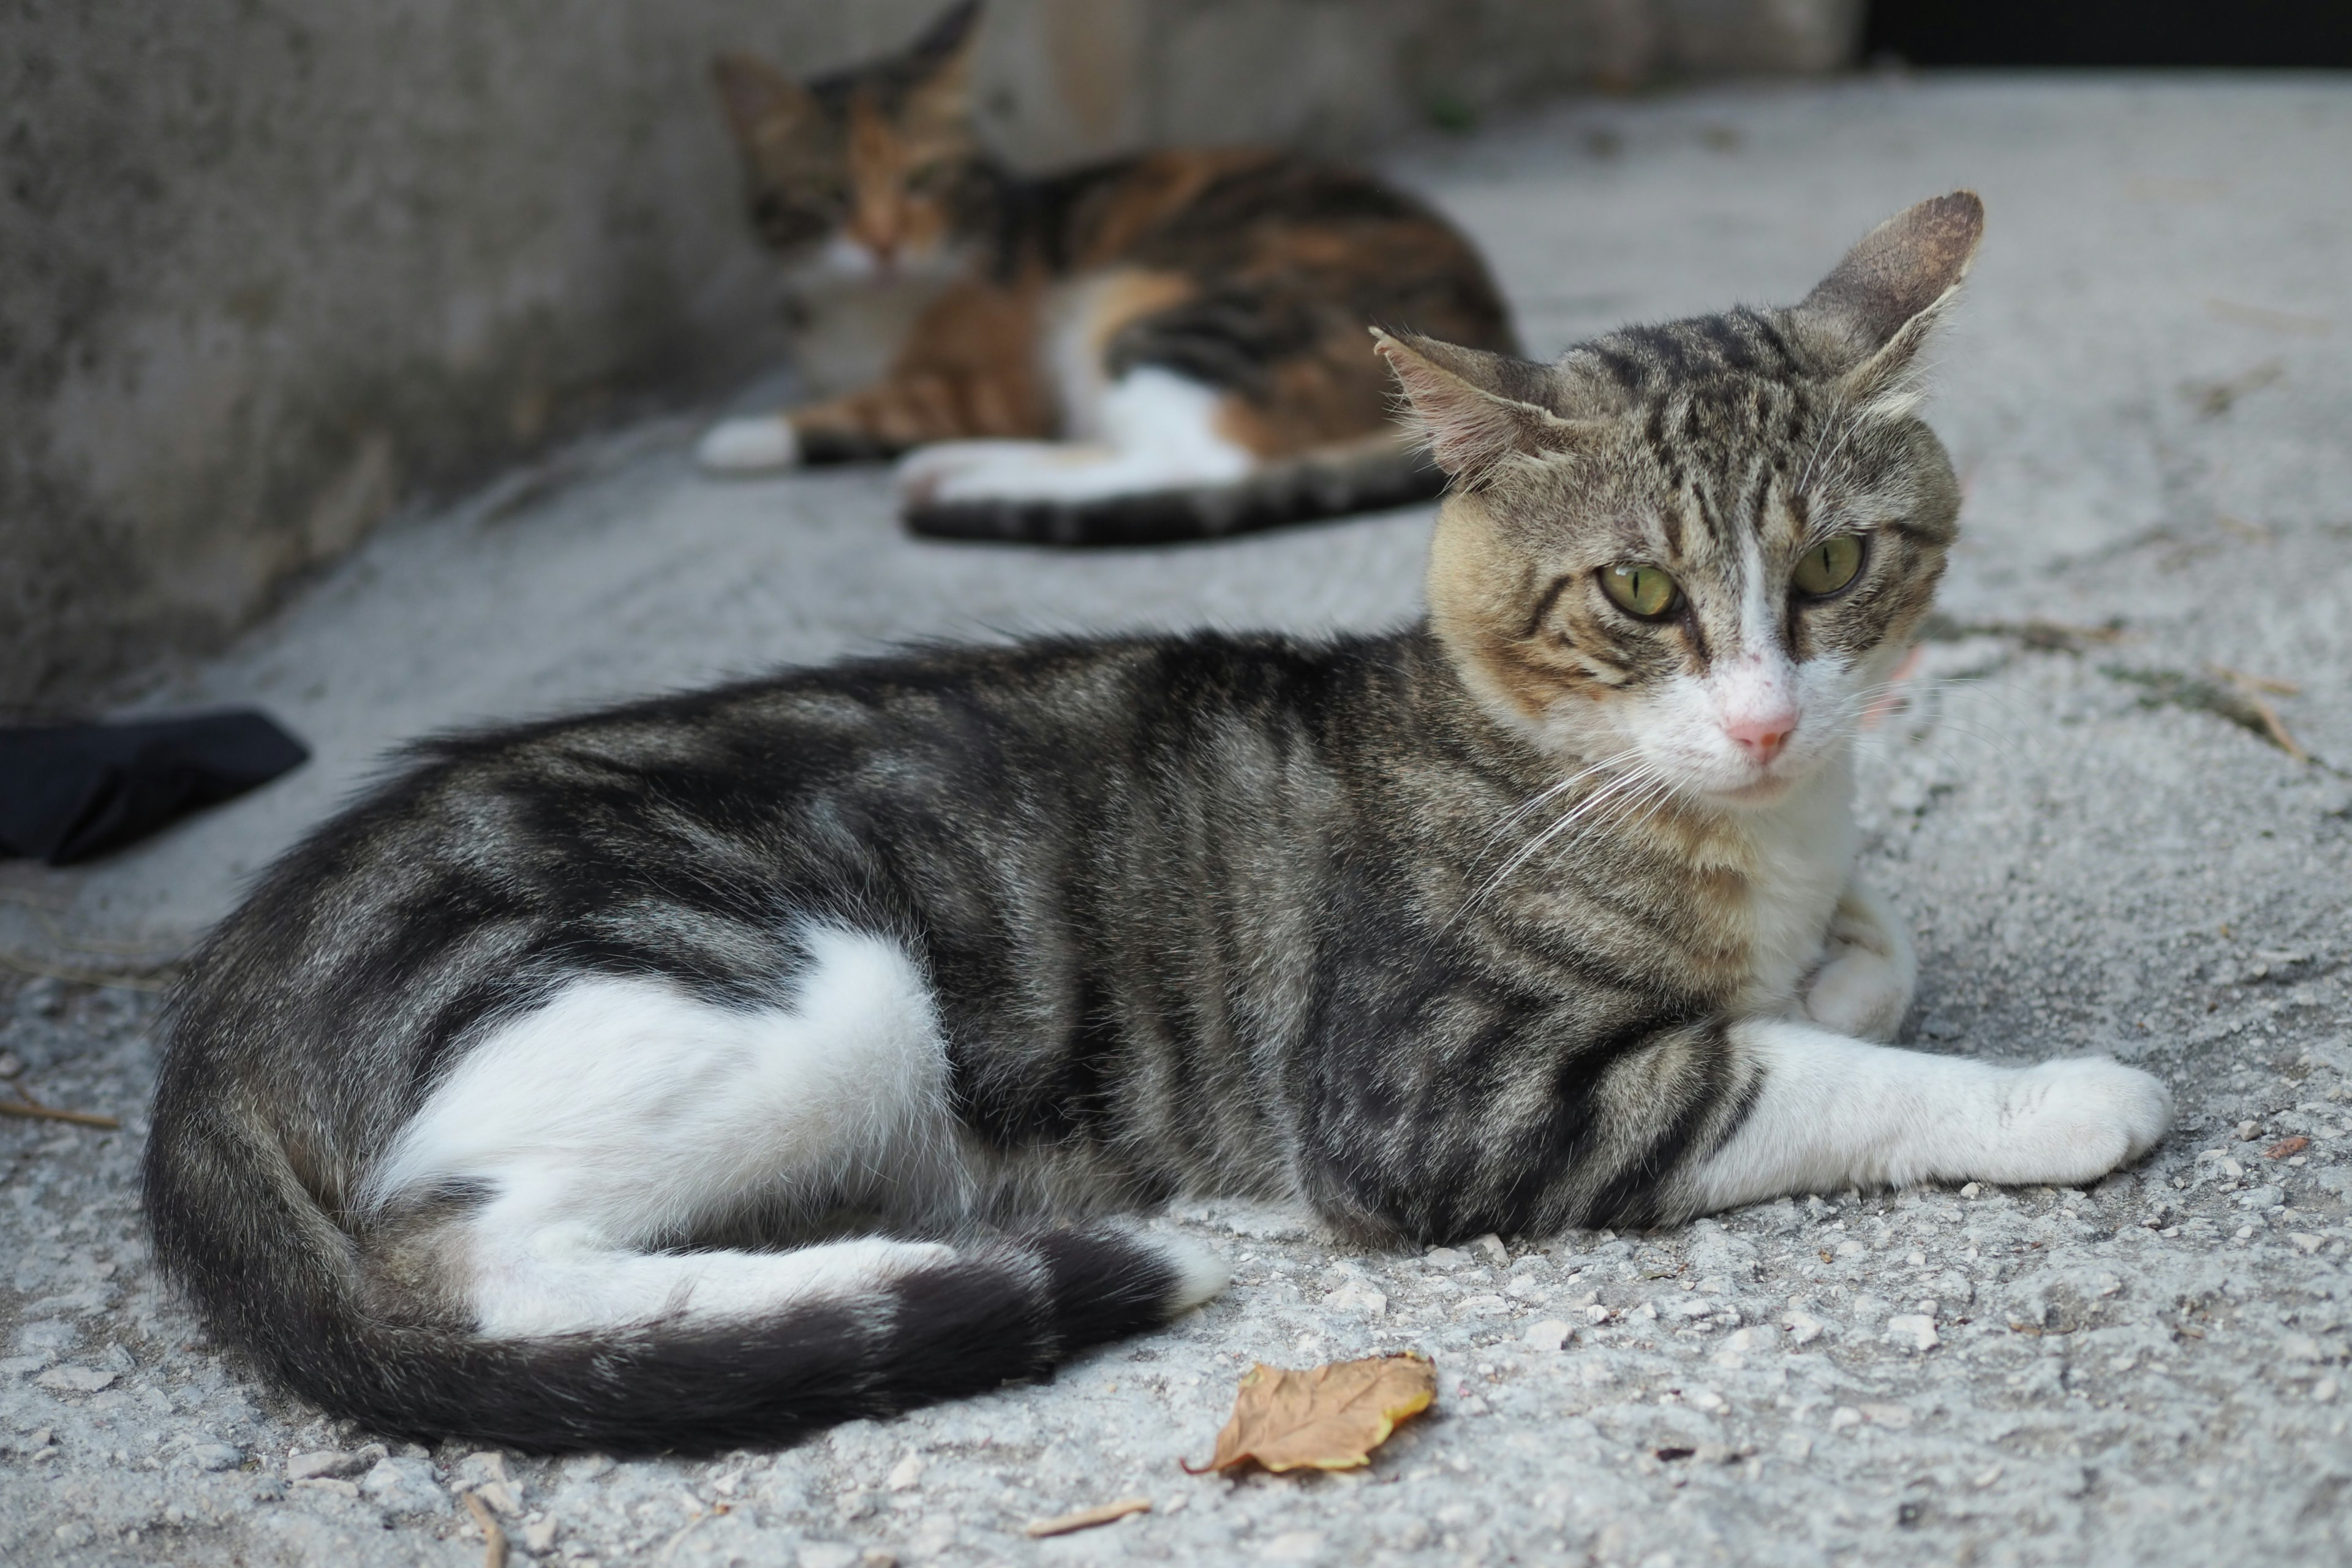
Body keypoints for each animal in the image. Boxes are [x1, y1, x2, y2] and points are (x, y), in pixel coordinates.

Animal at [147, 190, 2163, 1457]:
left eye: (1830, 568)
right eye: (1640, 598)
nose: (1760, 715)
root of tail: (233, 983)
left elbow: (1867, 955)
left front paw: (1823, 962)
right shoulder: (1431, 1093)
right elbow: (1790, 1068)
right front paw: (2055, 1095)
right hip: (812, 985)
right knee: (465, 1260)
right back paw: (929, 1269)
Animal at [691, 1, 1524, 545]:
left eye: (924, 179)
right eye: (828, 194)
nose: (885, 244)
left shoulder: (1002, 385)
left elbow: (884, 404)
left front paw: (745, 435)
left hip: (1166, 312)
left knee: (1195, 460)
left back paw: (968, 483)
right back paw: (950, 466)